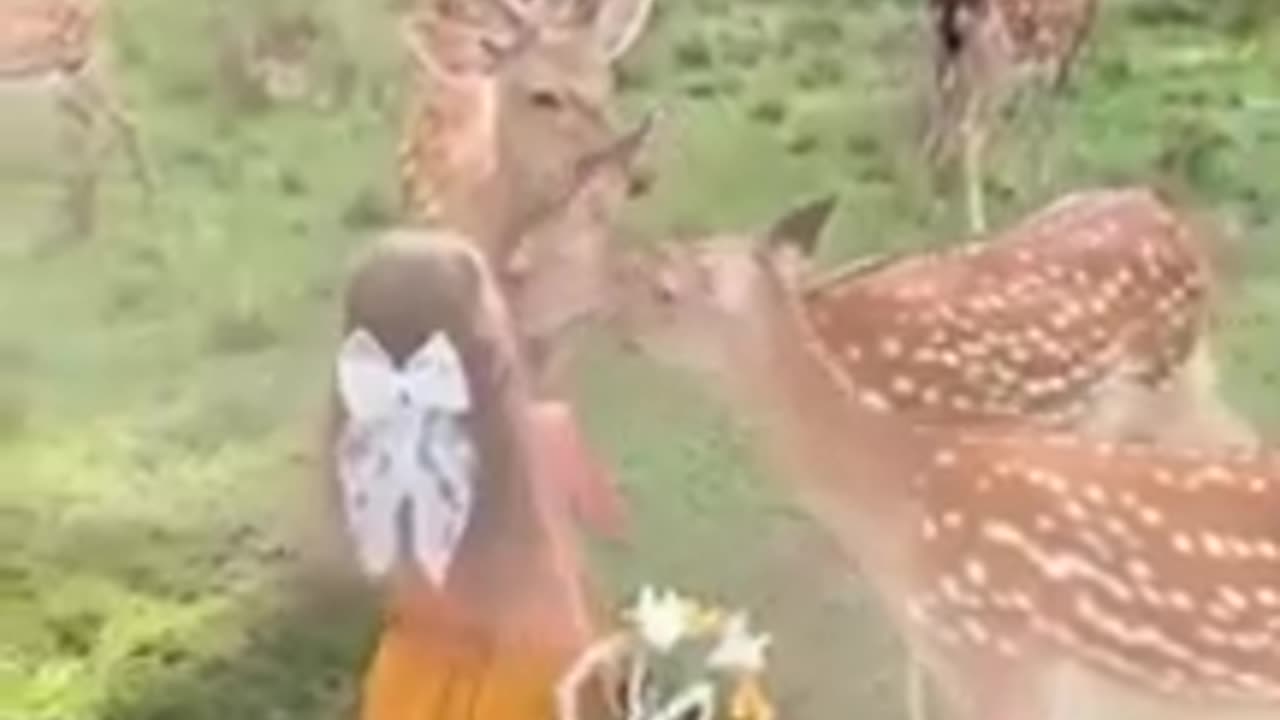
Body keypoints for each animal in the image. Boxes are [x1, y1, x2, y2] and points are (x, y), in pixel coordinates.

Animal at [921, 0, 1100, 230]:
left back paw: (936, 204)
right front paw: (1045, 183)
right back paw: (977, 222)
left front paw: (1010, 185)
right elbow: (1045, 120)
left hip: (945, 65)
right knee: (970, 130)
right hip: (993, 69)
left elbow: (1018, 118)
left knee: (938, 129)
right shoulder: (1062, 54)